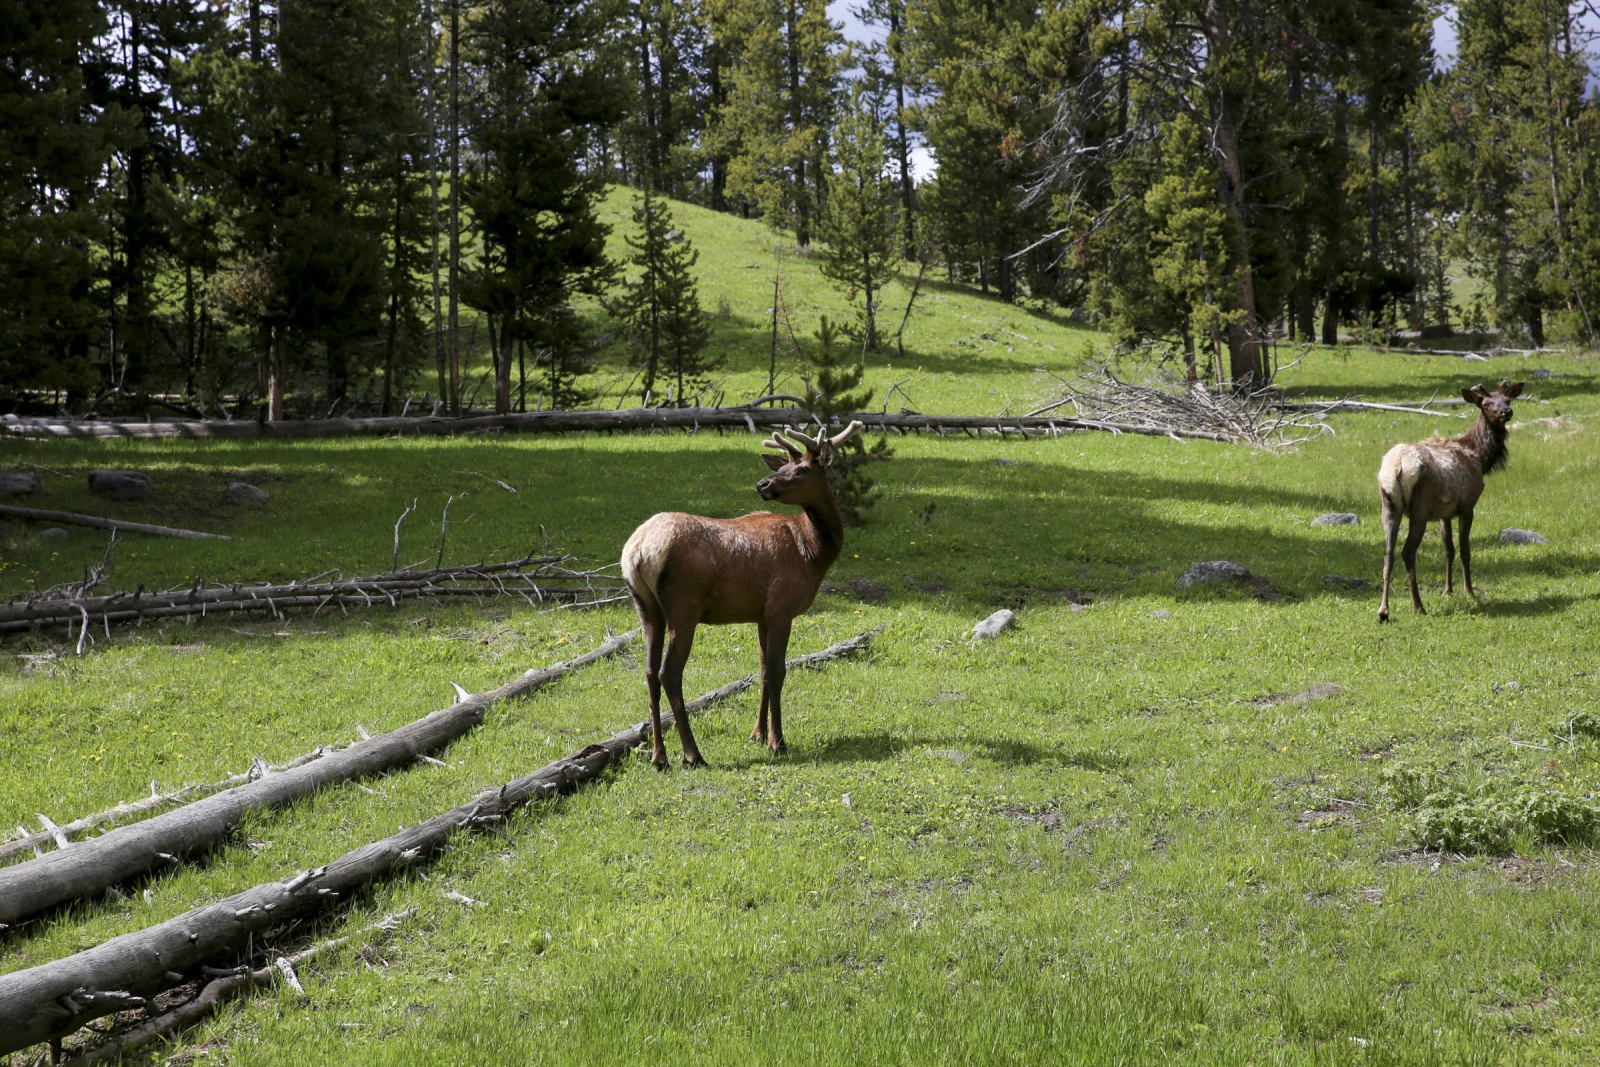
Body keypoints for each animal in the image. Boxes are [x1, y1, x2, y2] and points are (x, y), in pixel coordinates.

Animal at [617, 419, 864, 767]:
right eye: (787, 465)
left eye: (801, 469)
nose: (762, 483)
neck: (813, 551)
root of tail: (638, 551)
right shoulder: (781, 608)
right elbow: (777, 672)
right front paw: (777, 741)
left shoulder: (761, 614)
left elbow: (762, 670)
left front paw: (757, 733)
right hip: (684, 606)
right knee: (670, 673)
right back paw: (693, 754)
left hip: (646, 607)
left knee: (650, 672)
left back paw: (659, 757)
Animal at [1376, 379, 1523, 620]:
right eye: (1486, 404)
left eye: (1507, 400)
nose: (1506, 412)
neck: (1480, 459)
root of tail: (1397, 466)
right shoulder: (1467, 506)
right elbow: (1464, 550)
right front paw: (1469, 592)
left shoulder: (1443, 513)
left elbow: (1448, 550)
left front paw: (1447, 591)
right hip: (1419, 509)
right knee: (1407, 552)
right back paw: (1418, 606)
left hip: (1389, 506)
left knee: (1388, 552)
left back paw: (1384, 610)